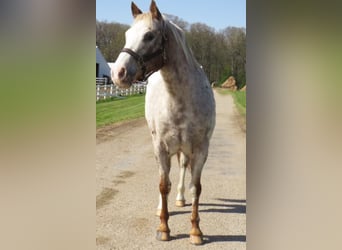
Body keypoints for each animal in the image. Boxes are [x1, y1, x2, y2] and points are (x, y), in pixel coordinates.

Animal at [111, 0, 216, 245]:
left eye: (149, 35)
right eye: (127, 34)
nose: (118, 73)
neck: (180, 99)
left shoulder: (201, 149)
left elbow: (196, 188)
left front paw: (196, 231)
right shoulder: (160, 146)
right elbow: (162, 184)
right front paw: (163, 228)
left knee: (182, 169)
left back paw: (179, 198)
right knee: (165, 178)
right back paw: (161, 208)